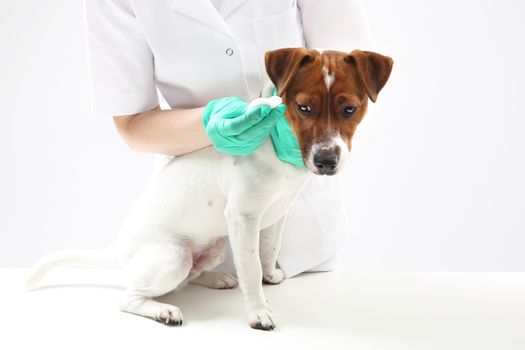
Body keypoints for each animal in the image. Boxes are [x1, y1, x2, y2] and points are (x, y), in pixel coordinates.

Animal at [25, 47, 392, 330]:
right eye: (303, 108)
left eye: (350, 109)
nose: (326, 161)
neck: (278, 147)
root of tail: (120, 247)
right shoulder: (243, 219)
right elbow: (250, 267)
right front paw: (259, 311)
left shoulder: (275, 216)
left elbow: (267, 252)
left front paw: (271, 276)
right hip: (173, 255)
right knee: (130, 296)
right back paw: (162, 310)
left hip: (214, 246)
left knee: (189, 276)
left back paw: (217, 279)